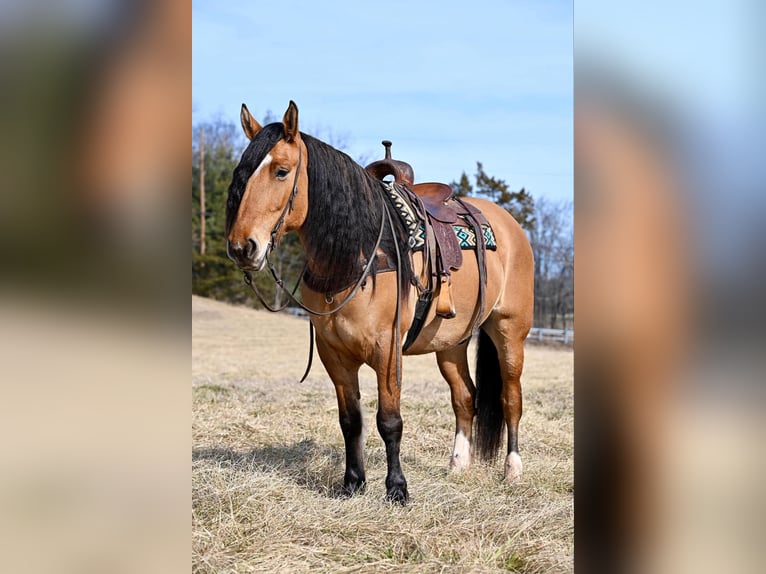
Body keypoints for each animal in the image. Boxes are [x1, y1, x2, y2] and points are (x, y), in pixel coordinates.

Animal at [225, 102, 532, 504]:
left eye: (281, 171)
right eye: (241, 172)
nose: (242, 247)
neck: (354, 257)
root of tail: (511, 227)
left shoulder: (387, 352)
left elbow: (389, 420)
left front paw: (397, 489)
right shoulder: (335, 355)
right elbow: (350, 421)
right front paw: (353, 482)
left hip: (509, 332)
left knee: (511, 398)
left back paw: (513, 470)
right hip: (451, 342)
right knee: (465, 397)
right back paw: (458, 465)